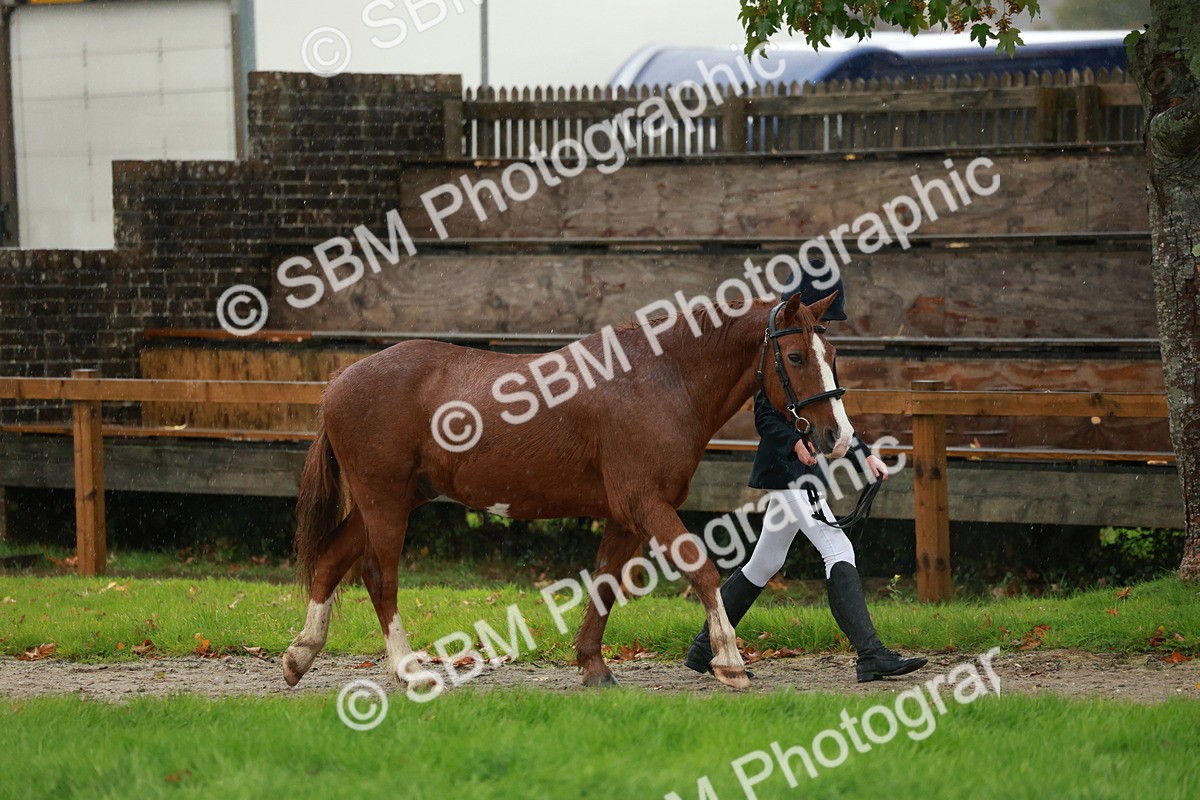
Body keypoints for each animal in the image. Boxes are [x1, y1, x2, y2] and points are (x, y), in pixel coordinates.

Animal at [282, 291, 854, 691]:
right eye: (796, 356)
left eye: (830, 352)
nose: (838, 436)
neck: (661, 378)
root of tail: (339, 381)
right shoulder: (646, 504)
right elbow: (702, 568)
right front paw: (730, 662)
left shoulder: (625, 516)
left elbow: (604, 585)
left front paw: (593, 666)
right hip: (384, 500)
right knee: (379, 577)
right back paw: (406, 668)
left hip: (392, 499)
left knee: (330, 561)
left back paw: (299, 655)